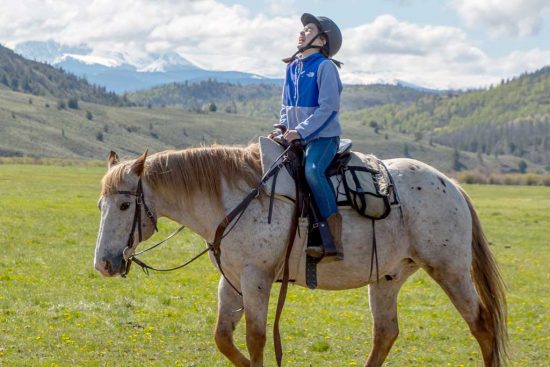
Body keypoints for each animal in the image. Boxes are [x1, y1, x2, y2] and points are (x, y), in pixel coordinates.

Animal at [94, 144, 508, 367]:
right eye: (101, 205)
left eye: (125, 204)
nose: (104, 263)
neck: (233, 200)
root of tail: (452, 185)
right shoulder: (232, 283)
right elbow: (223, 338)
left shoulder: (256, 279)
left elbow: (256, 337)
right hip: (388, 276)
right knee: (385, 333)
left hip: (449, 270)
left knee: (482, 324)